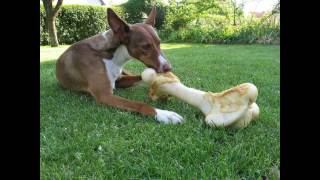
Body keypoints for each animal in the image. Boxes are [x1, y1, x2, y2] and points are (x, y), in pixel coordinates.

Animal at [56, 7, 184, 124]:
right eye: (145, 46)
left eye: (159, 43)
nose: (168, 68)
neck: (112, 55)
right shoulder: (104, 95)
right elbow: (139, 104)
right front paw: (163, 114)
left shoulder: (119, 81)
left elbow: (141, 77)